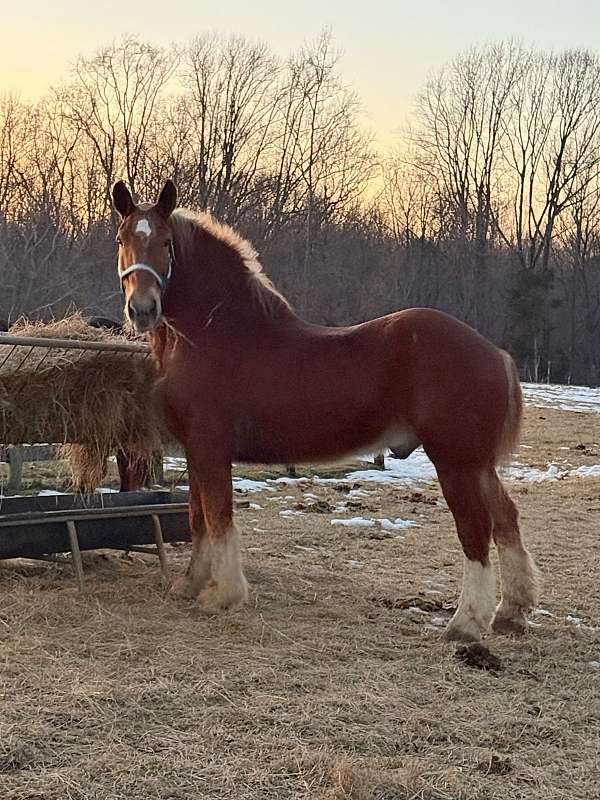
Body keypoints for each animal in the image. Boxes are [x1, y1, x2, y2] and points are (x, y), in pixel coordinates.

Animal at [111, 181, 540, 644]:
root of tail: (495, 353)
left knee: (475, 529)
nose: (142, 309)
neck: (215, 332)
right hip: (478, 464)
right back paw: (511, 612)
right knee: (506, 520)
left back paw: (465, 624)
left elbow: (218, 515)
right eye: (121, 239)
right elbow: (197, 517)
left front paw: (222, 596)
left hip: (456, 462)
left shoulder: (210, 448)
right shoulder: (194, 451)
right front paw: (190, 584)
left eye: (166, 243)